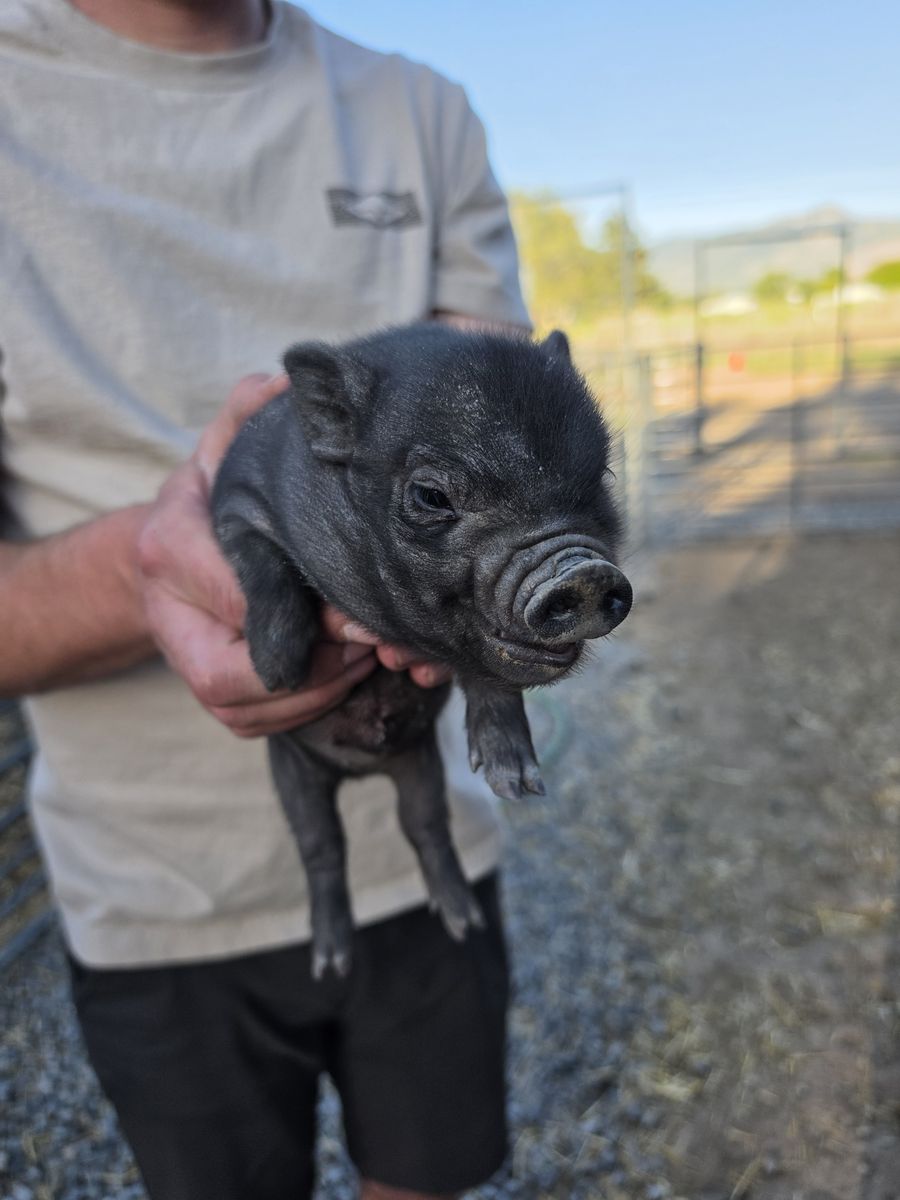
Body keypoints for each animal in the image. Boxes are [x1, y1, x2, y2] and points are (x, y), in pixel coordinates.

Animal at [211, 323, 632, 978]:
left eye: (605, 477)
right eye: (432, 495)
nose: (583, 572)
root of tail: (362, 768)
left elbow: (492, 675)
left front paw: (518, 785)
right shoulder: (235, 497)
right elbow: (260, 560)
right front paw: (278, 672)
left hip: (418, 763)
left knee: (424, 825)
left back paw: (464, 922)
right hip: (293, 768)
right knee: (321, 848)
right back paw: (332, 964)